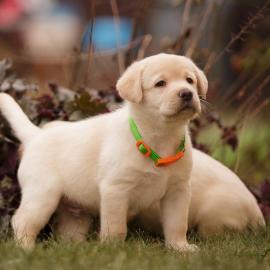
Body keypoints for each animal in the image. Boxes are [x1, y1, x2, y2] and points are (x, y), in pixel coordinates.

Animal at [0, 53, 207, 251]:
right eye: (160, 83)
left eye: (189, 80)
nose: (187, 93)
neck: (160, 135)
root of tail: (36, 135)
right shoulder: (115, 189)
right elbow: (116, 227)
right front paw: (112, 249)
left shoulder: (178, 190)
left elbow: (177, 224)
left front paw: (180, 248)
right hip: (42, 195)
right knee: (22, 221)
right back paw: (26, 249)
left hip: (74, 212)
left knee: (67, 234)